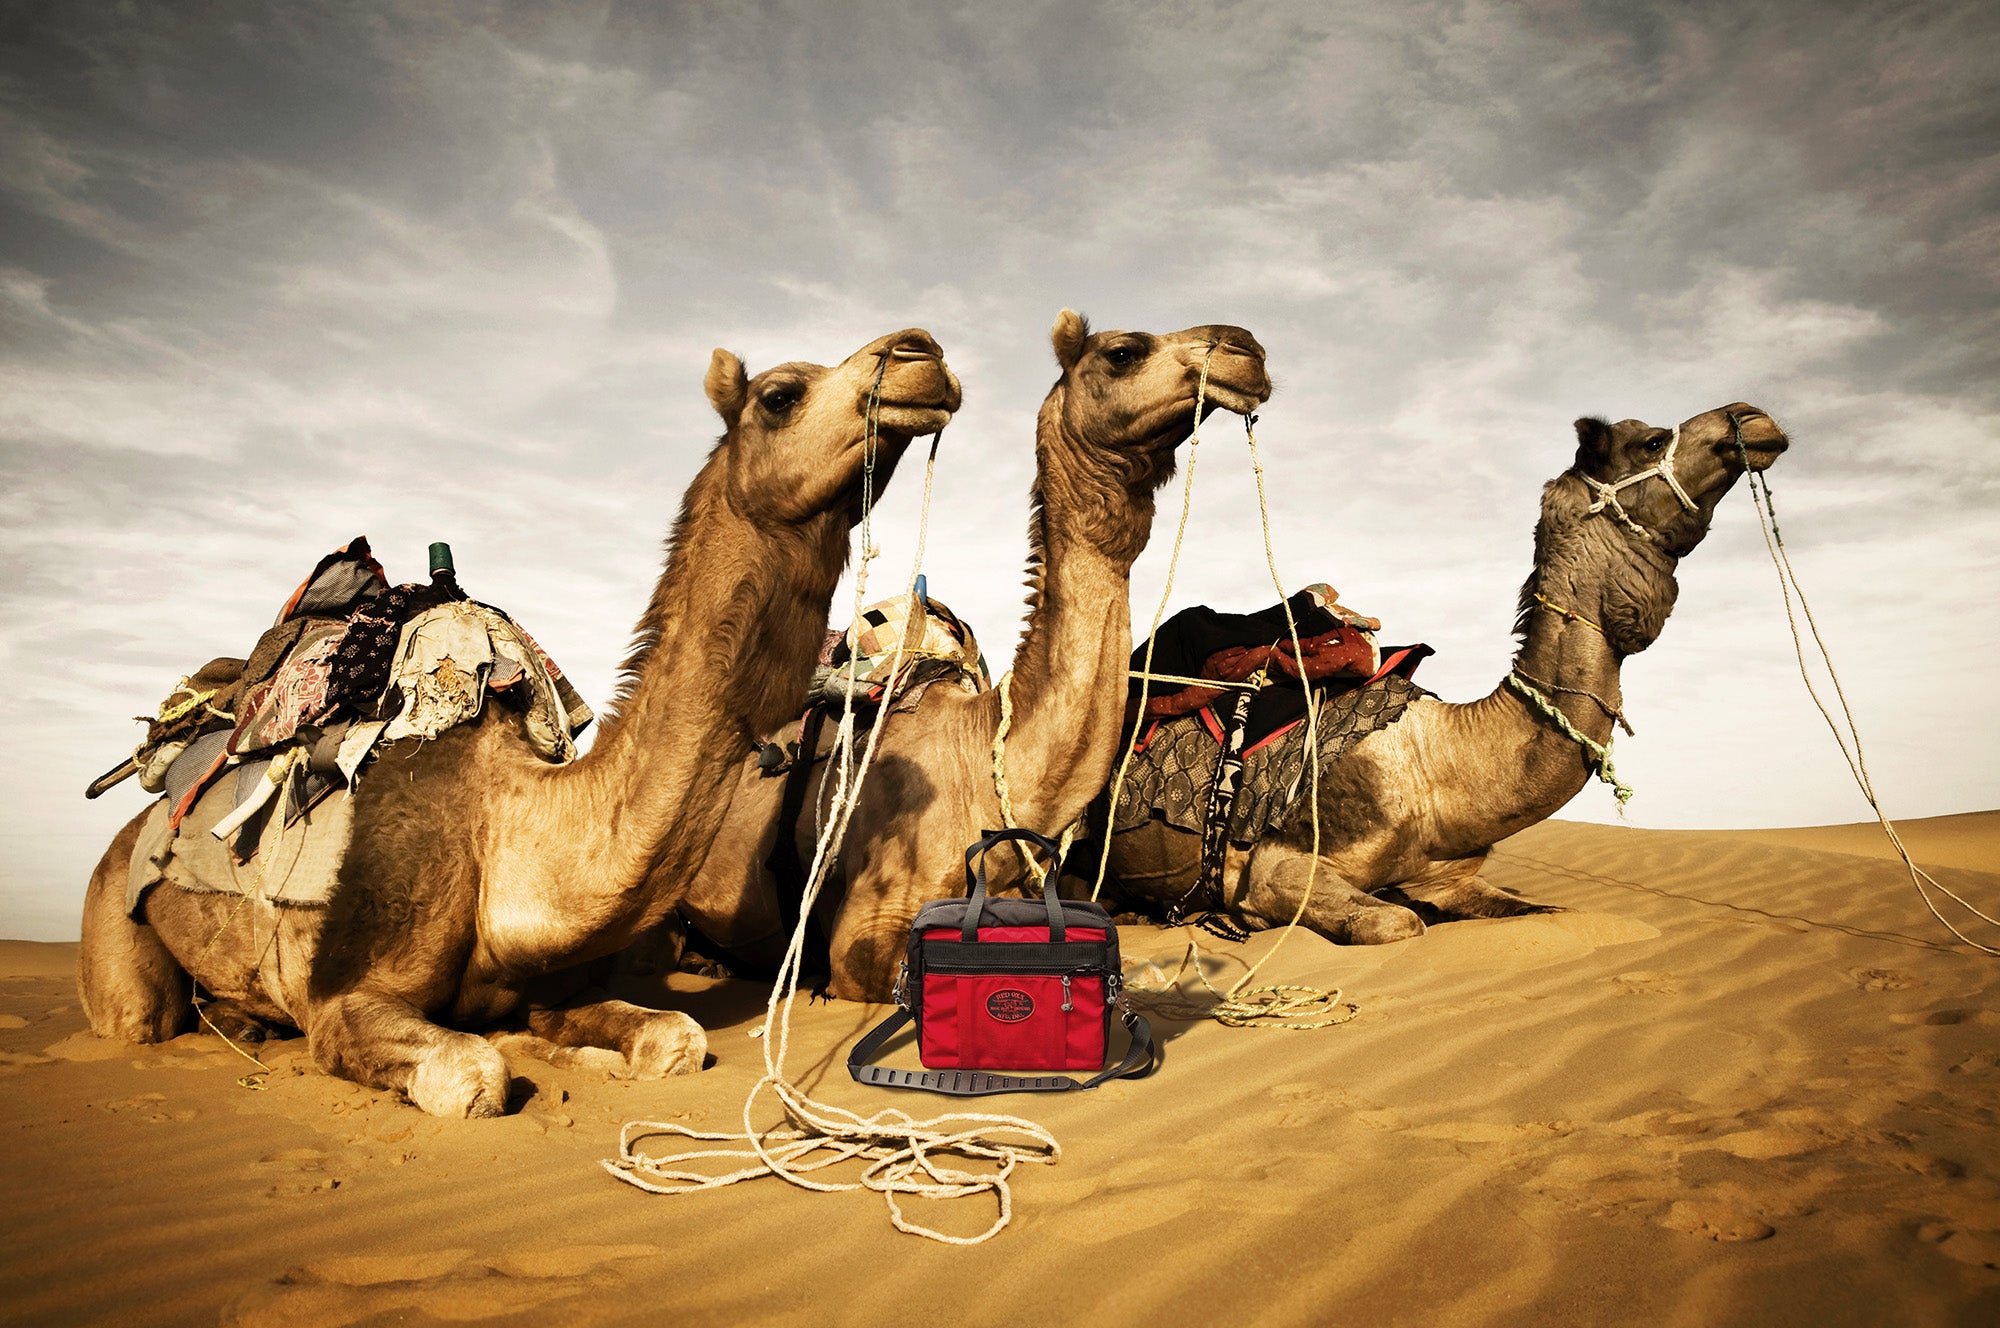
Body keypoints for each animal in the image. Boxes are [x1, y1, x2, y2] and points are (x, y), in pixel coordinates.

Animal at [77, 328, 962, 1116]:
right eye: (781, 395)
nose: (922, 353)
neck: (504, 827)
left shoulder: (550, 983)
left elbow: (673, 1037)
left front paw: (572, 1053)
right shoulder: (342, 1000)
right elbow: (473, 1072)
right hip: (114, 926)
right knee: (143, 1016)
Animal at [1101, 404, 1791, 943]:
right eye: (1651, 440)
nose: (1752, 418)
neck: (1440, 764)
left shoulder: (1449, 874)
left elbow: (1553, 912)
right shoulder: (1277, 864)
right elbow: (1397, 921)